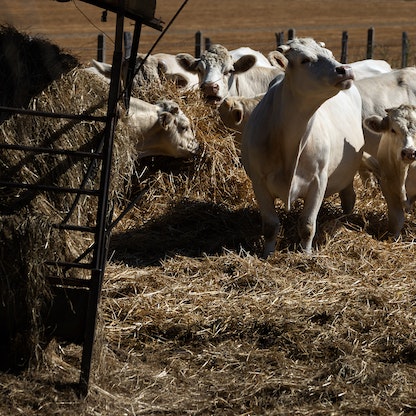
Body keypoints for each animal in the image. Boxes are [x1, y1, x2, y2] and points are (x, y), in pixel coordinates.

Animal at [240, 37, 364, 256]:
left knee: (349, 197)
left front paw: (305, 255)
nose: (345, 69)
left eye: (330, 54)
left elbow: (307, 225)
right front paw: (267, 254)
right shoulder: (259, 182)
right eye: (305, 60)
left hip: (348, 173)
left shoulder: (318, 181)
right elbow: (270, 226)